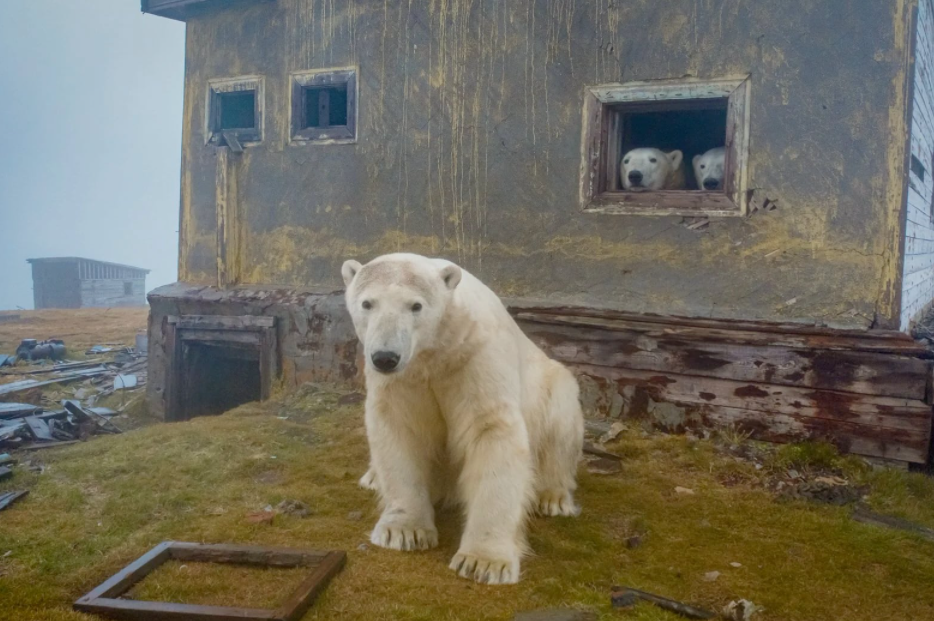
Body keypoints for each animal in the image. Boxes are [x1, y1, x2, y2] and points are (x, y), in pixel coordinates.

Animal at [342, 253, 584, 585]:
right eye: (367, 303)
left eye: (415, 306)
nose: (386, 357)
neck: (436, 351)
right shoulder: (404, 379)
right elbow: (400, 429)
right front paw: (403, 532)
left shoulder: (475, 358)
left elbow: (491, 431)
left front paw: (484, 561)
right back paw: (372, 478)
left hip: (551, 386)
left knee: (561, 423)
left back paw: (553, 497)